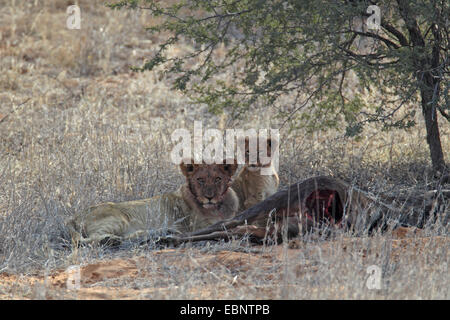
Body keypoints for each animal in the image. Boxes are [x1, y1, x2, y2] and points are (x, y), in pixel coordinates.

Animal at [68, 158, 239, 245]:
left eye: (218, 179)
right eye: (200, 180)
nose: (209, 197)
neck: (217, 208)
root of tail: (74, 216)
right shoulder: (199, 226)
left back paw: (160, 232)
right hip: (119, 219)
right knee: (86, 239)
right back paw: (110, 240)